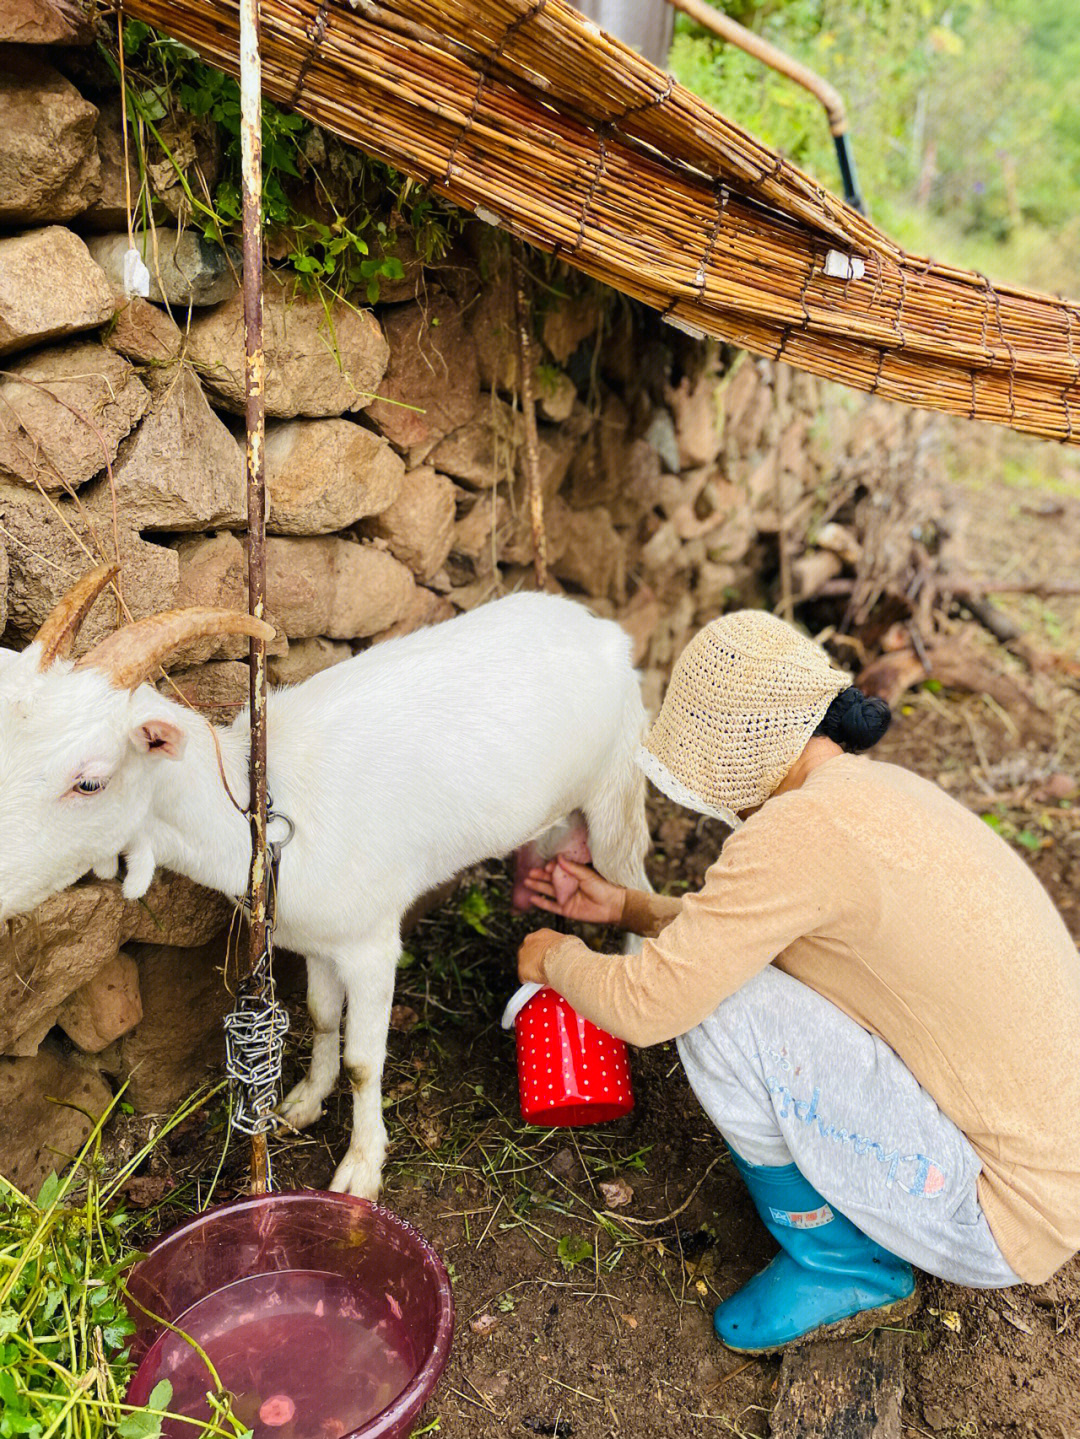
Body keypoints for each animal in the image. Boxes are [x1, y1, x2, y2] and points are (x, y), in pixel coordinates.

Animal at [0, 566, 650, 1197]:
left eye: (90, 781)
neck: (263, 814)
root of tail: (598, 624)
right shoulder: (314, 939)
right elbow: (317, 1014)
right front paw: (303, 1103)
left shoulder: (371, 944)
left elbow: (364, 1061)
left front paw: (361, 1168)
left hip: (618, 787)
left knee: (634, 882)